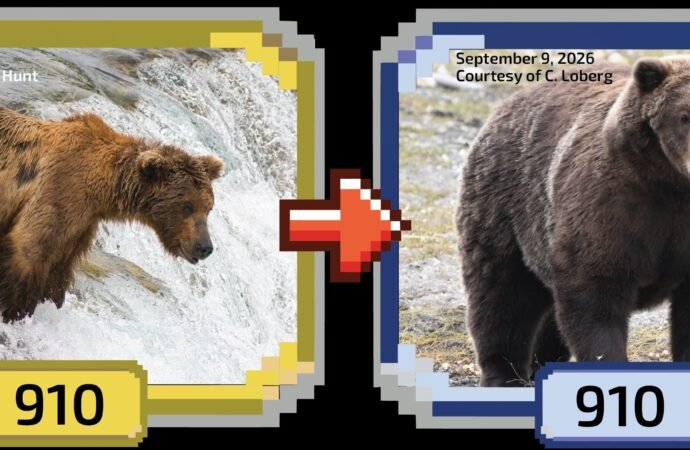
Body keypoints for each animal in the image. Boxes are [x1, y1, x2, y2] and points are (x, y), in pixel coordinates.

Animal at [0, 107, 224, 322]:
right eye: (187, 207)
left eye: (208, 208)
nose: (205, 247)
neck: (101, 188)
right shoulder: (58, 191)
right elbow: (29, 252)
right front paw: (15, 313)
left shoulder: (81, 226)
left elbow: (57, 275)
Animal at [457, 56, 690, 386]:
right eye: (684, 116)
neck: (672, 187)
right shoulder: (610, 206)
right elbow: (594, 293)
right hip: (506, 207)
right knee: (501, 296)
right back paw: (504, 374)